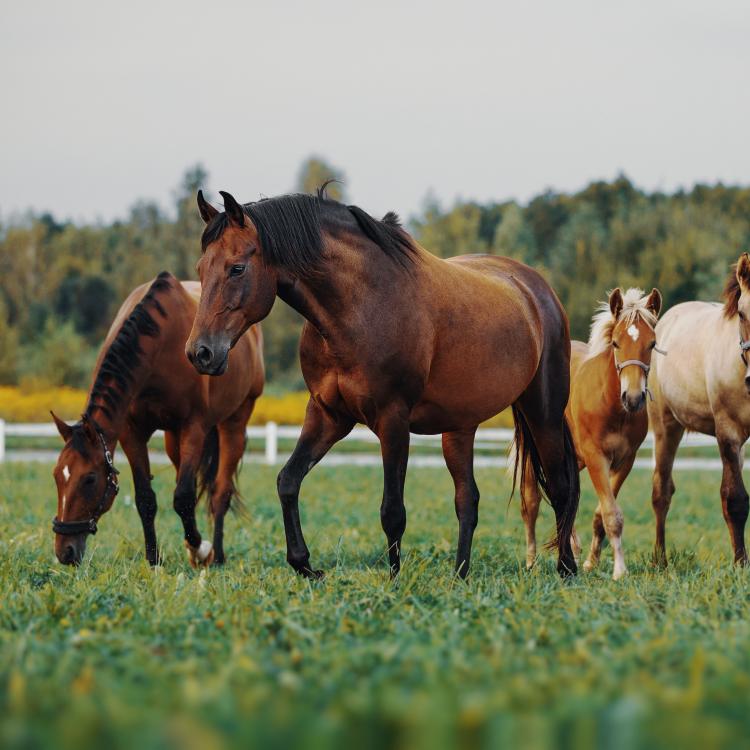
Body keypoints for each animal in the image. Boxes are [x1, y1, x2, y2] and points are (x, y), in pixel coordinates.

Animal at [50, 274, 264, 568]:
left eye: (89, 479)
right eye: (57, 476)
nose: (64, 552)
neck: (160, 344)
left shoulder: (194, 428)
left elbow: (183, 498)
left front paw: (201, 549)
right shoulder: (131, 433)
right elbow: (146, 499)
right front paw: (153, 558)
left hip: (235, 421)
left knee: (220, 492)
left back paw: (216, 555)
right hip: (173, 439)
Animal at [184, 188, 580, 580]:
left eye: (237, 268)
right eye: (201, 269)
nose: (200, 352)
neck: (361, 306)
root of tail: (535, 288)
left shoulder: (393, 420)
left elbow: (392, 510)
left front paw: (394, 580)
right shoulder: (328, 415)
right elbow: (288, 481)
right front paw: (305, 564)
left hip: (542, 411)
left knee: (560, 488)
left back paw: (566, 568)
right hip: (460, 427)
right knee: (467, 500)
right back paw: (460, 575)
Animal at [524, 288, 664, 580]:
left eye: (652, 344)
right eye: (616, 343)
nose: (633, 398)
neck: (611, 405)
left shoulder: (624, 461)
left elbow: (601, 515)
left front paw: (591, 562)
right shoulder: (596, 458)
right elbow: (612, 514)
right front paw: (620, 570)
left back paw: (573, 550)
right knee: (531, 500)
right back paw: (531, 561)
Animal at [648, 256, 750, 568]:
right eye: (742, 314)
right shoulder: (728, 433)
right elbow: (735, 500)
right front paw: (741, 564)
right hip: (665, 428)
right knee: (661, 492)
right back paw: (660, 559)